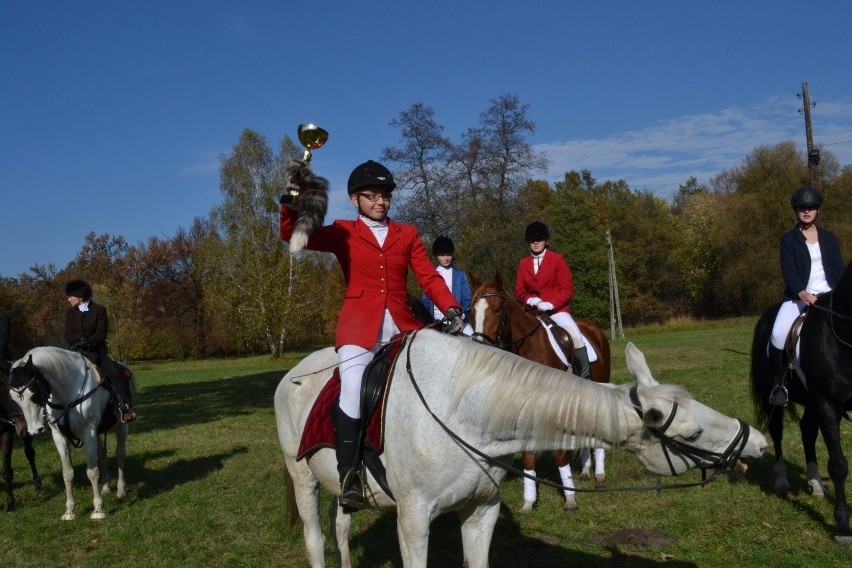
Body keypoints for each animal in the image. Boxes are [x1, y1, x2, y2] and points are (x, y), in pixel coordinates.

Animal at [9, 344, 128, 520]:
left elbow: (92, 472)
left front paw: (98, 510)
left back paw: (120, 489)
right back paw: (106, 487)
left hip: (122, 426)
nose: (34, 430)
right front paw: (69, 511)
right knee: (102, 453)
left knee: (120, 453)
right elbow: (67, 473)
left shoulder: (88, 433)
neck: (68, 392)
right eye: (14, 399)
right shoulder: (59, 437)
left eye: (34, 394)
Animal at [276, 328, 768, 568]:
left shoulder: (481, 512)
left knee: (341, 524)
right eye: (694, 435)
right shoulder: (413, 520)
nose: (757, 442)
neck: (462, 409)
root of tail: (292, 375)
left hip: (342, 486)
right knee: (316, 539)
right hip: (302, 479)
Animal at [466, 276, 612, 516]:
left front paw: (570, 499)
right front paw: (528, 501)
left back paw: (599, 476)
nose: (480, 349)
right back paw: (586, 471)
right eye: (472, 311)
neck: (530, 349)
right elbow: (528, 456)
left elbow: (560, 454)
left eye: (497, 310)